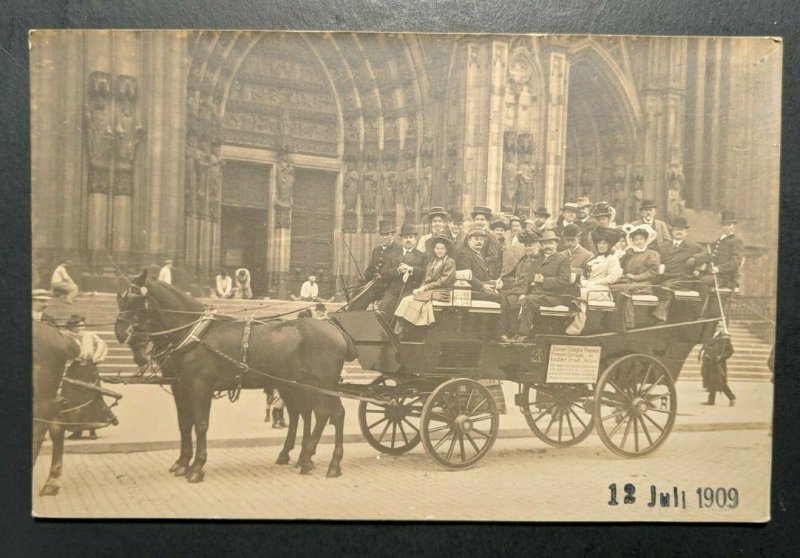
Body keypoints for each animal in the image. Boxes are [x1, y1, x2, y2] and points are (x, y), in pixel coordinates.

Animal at [115, 274, 356, 484]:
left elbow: (200, 424)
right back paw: (304, 459)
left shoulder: (201, 387)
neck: (196, 333)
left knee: (334, 414)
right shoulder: (181, 387)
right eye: (121, 299)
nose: (119, 332)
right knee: (314, 414)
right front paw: (182, 463)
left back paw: (332, 464)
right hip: (301, 385)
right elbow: (185, 423)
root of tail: (336, 330)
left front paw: (196, 467)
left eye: (136, 299)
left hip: (321, 385)